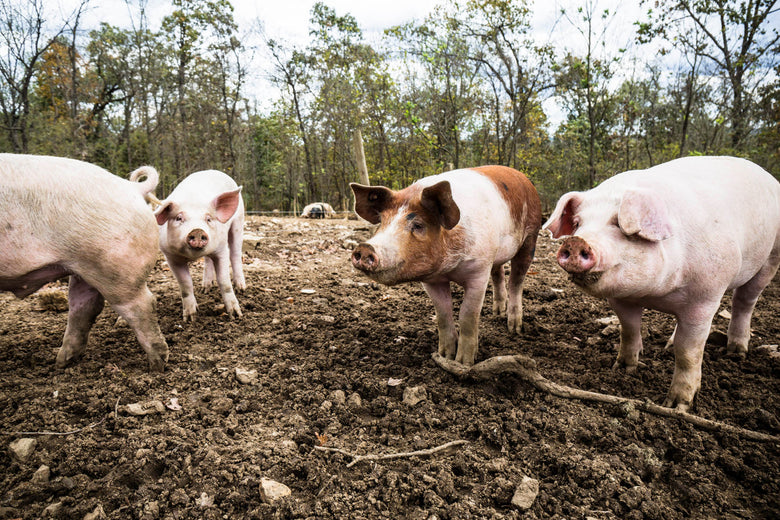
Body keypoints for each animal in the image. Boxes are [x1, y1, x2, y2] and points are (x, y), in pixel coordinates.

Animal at [0, 153, 169, 370]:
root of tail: (131, 187)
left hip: (118, 270)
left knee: (142, 305)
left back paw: (156, 365)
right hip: (83, 268)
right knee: (84, 306)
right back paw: (61, 363)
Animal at [153, 170, 247, 320]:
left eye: (208, 218)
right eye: (179, 218)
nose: (197, 230)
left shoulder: (221, 249)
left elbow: (224, 280)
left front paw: (235, 315)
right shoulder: (171, 257)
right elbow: (185, 284)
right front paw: (190, 318)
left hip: (239, 222)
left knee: (235, 254)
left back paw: (241, 288)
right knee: (208, 260)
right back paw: (205, 288)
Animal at [352, 166, 544, 366]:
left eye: (418, 225)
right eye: (382, 222)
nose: (365, 247)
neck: (450, 267)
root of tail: (524, 178)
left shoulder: (479, 270)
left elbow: (468, 315)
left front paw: (464, 363)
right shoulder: (432, 281)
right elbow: (443, 315)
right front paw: (444, 356)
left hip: (531, 236)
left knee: (516, 280)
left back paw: (515, 329)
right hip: (497, 254)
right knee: (498, 273)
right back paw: (497, 313)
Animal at [544, 154, 780, 410]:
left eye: (617, 222)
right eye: (578, 223)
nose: (576, 242)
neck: (655, 294)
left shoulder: (705, 297)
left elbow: (688, 351)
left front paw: (676, 405)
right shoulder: (620, 298)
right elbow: (628, 329)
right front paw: (623, 369)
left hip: (771, 257)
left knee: (745, 301)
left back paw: (736, 353)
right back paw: (669, 345)